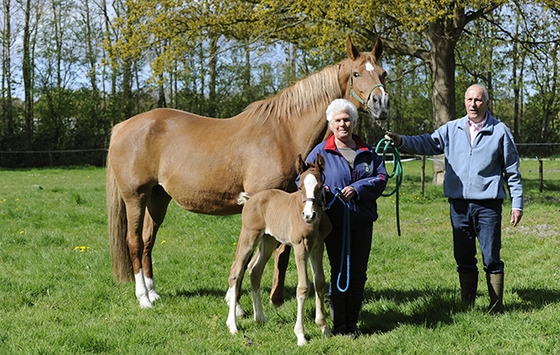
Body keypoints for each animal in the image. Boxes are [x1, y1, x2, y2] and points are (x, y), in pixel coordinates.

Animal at [226, 154, 332, 346]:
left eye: (320, 186)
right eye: (300, 187)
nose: (309, 215)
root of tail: (251, 198)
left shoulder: (317, 247)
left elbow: (319, 282)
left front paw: (324, 328)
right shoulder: (300, 247)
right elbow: (303, 287)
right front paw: (301, 335)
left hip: (269, 240)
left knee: (255, 270)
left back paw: (260, 317)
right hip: (249, 236)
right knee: (236, 271)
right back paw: (233, 325)